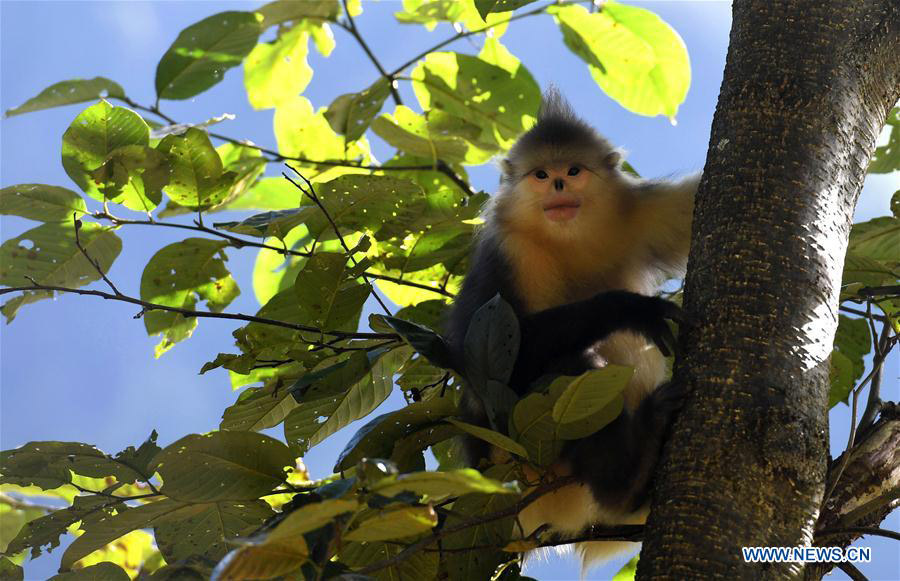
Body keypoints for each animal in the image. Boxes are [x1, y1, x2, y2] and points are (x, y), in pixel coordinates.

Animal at [444, 90, 698, 568]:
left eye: (574, 171)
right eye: (542, 174)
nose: (559, 185)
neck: (569, 238)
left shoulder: (644, 212)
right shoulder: (506, 250)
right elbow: (481, 362)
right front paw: (632, 309)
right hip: (510, 448)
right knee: (577, 362)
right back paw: (626, 478)